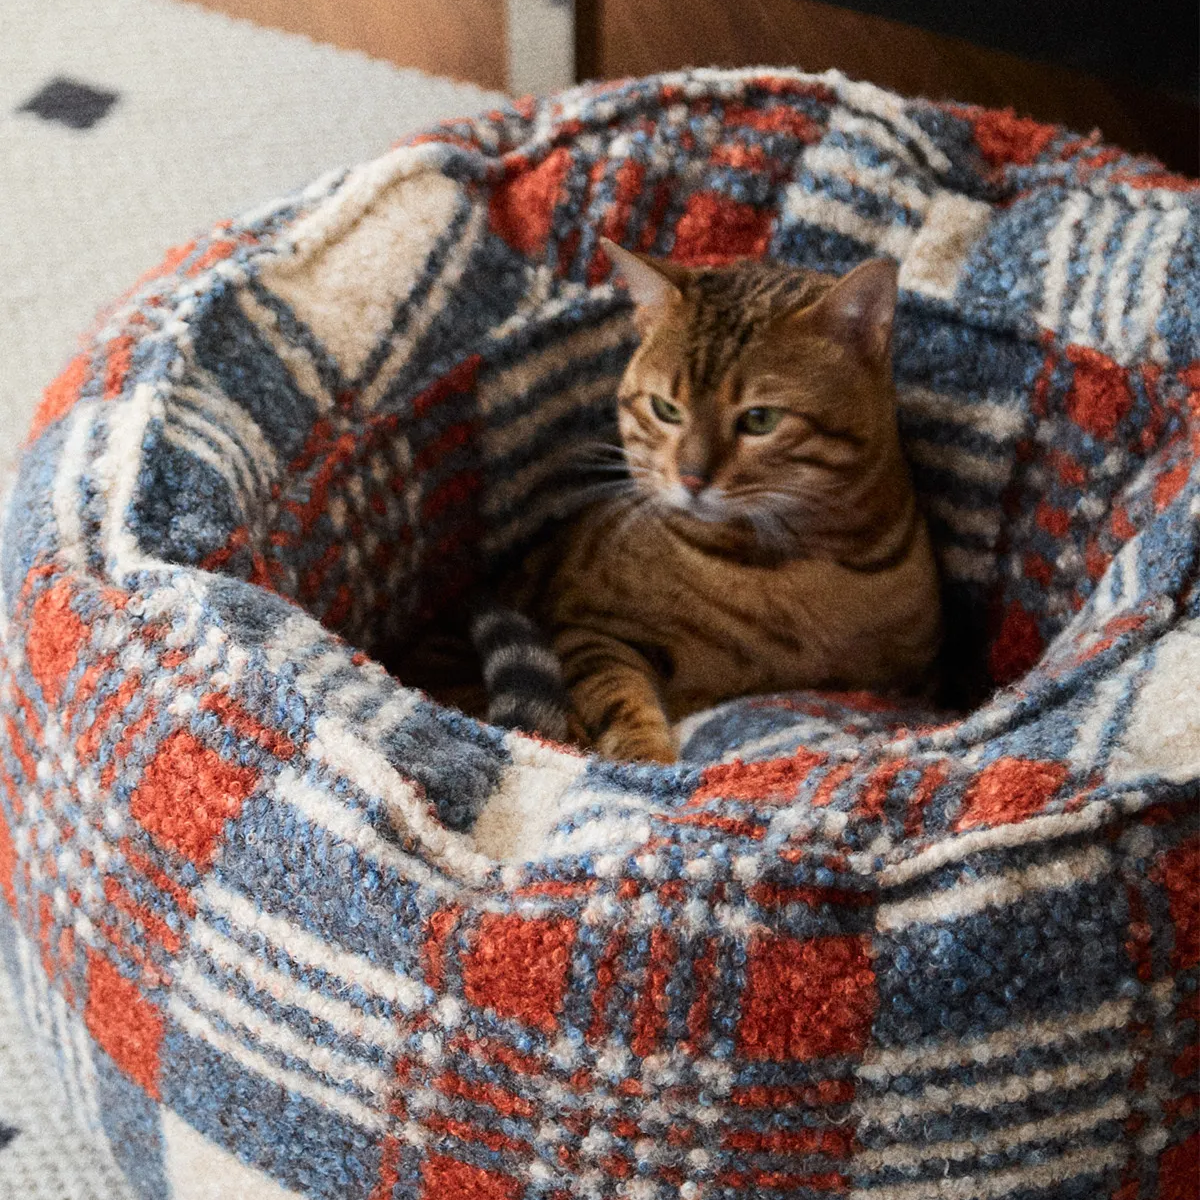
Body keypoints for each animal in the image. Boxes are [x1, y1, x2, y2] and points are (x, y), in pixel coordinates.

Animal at [472, 240, 940, 763]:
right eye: (666, 409)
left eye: (760, 419)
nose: (692, 477)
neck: (790, 560)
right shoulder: (584, 627)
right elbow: (618, 694)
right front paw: (644, 756)